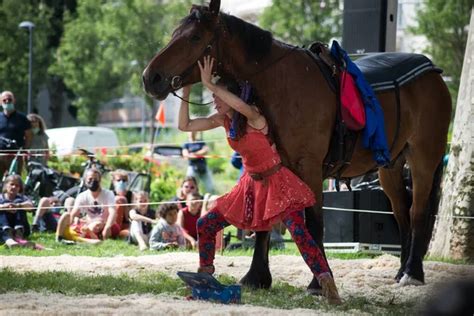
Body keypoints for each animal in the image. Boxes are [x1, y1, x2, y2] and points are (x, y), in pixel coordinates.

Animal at [143, 0, 452, 292]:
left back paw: (412, 273)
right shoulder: (278, 167)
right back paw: (401, 271)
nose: (150, 77)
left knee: (417, 211)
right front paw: (256, 277)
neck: (282, 83)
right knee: (401, 213)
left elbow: (314, 222)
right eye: (175, 33)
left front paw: (318, 282)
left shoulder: (310, 167)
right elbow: (265, 220)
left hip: (424, 158)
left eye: (195, 37)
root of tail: (433, 73)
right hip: (390, 166)